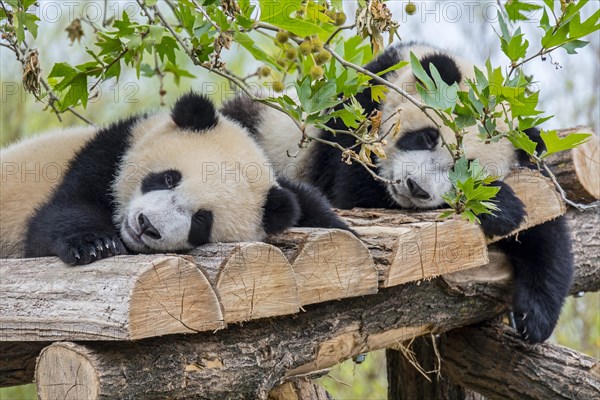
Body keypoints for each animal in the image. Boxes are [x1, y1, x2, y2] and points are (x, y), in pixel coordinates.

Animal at [1, 92, 346, 264]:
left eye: (201, 220)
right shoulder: (107, 152)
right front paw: (94, 244)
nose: (147, 225)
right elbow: (59, 214)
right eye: (168, 179)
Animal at [221, 43, 576, 344]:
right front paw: (501, 206)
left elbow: (545, 224)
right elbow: (352, 193)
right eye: (427, 137)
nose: (416, 188)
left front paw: (535, 317)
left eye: (467, 171)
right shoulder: (355, 117)